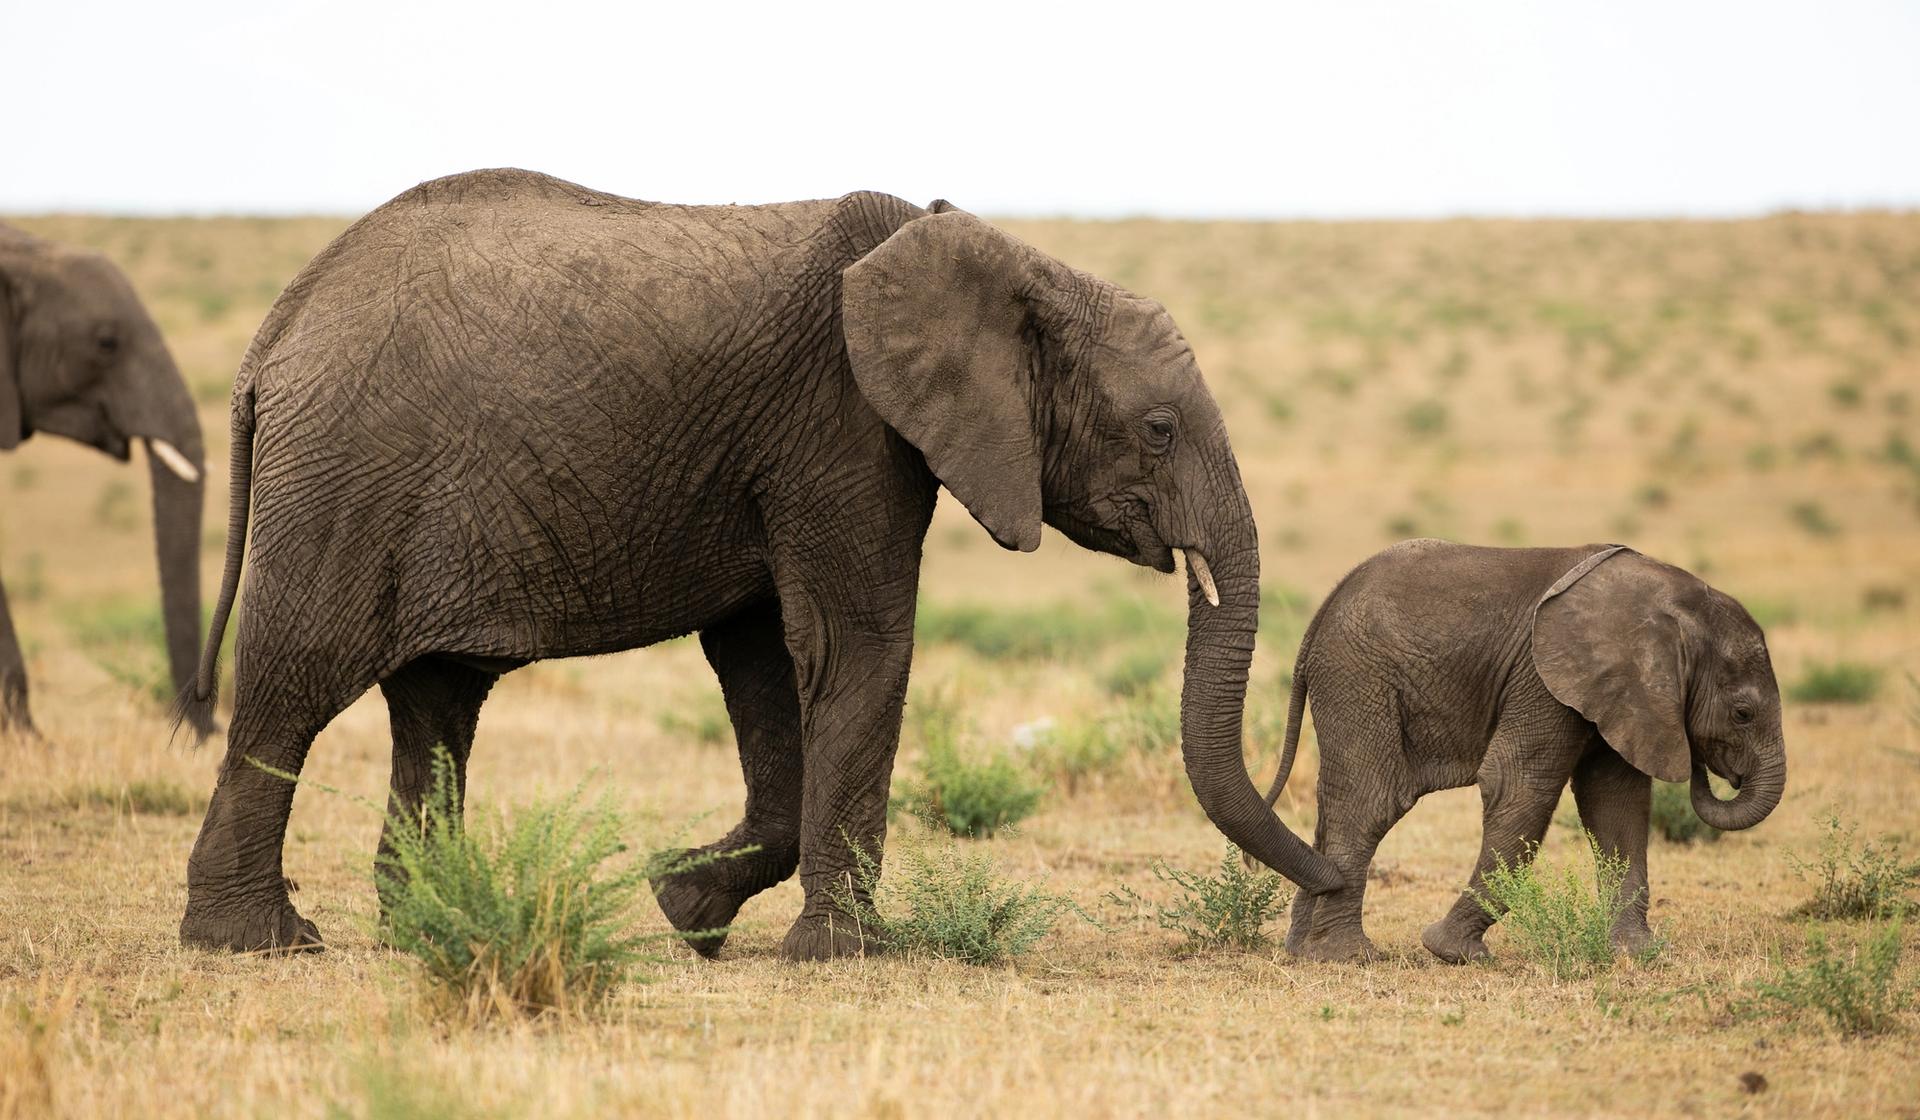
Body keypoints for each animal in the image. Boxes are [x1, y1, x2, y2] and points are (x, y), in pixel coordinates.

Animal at [176, 168, 1344, 958]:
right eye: (1158, 430)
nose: (1333, 881)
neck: (1007, 262)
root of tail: (272, 335)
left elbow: (765, 661)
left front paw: (682, 910)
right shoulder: (840, 425)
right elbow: (855, 644)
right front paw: (846, 955)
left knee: (436, 704)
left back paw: (425, 920)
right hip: (344, 477)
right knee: (295, 683)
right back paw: (258, 941)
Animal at [1258, 539, 1785, 963]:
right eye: (1742, 713)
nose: (1713, 771)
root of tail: (1318, 619)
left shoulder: (1618, 693)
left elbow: (1616, 804)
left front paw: (1638, 953)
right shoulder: (1542, 679)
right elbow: (1518, 786)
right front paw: (1452, 952)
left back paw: (1302, 951)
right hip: (1361, 679)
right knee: (1372, 803)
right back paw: (1347, 957)